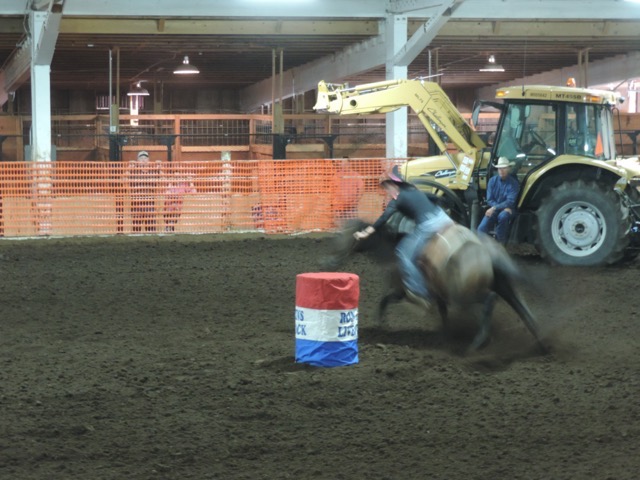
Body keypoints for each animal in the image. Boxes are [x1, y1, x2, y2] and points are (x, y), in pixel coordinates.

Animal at [324, 216, 544, 350]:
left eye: (347, 236)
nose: (328, 261)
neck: (392, 251)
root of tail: (484, 250)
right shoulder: (437, 295)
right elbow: (442, 313)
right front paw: (446, 334)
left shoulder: (404, 291)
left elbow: (385, 300)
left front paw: (380, 324)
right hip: (504, 284)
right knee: (520, 305)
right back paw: (541, 340)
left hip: (465, 293)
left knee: (489, 300)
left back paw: (478, 341)